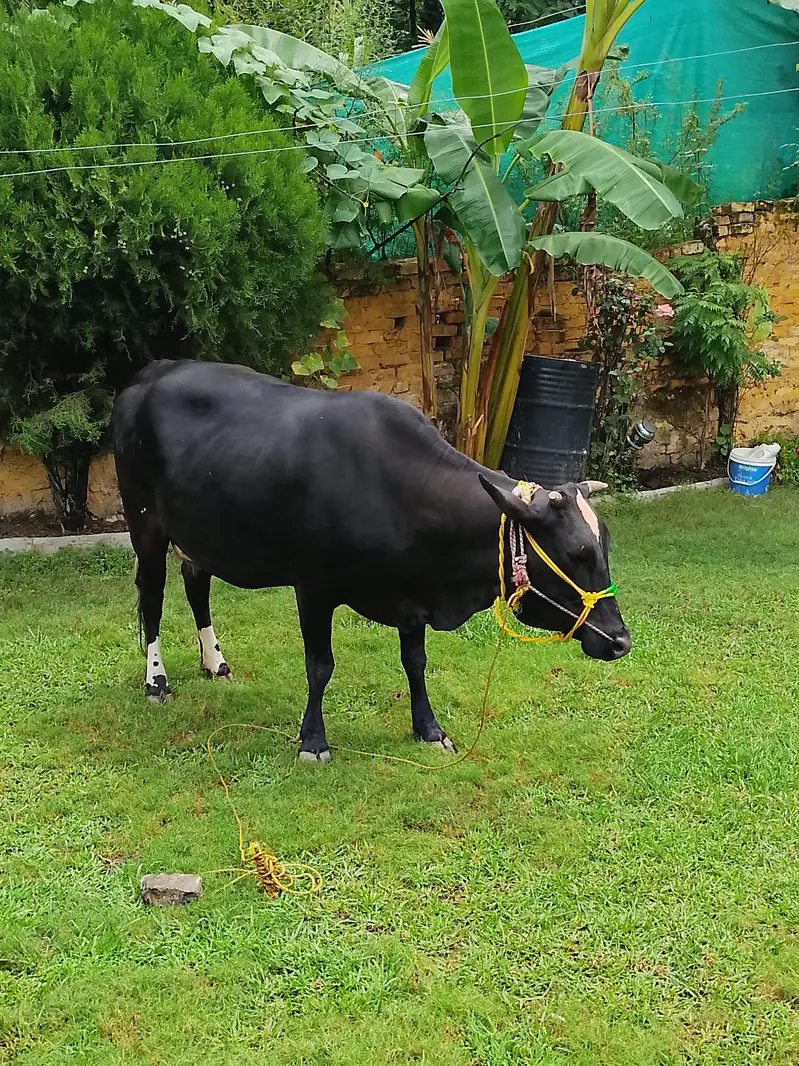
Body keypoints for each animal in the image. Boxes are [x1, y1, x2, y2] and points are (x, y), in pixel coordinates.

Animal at [112, 360, 631, 762]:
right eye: (578, 552)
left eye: (605, 545)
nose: (621, 641)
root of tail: (151, 372)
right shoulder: (313, 587)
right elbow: (319, 666)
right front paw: (313, 741)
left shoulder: (412, 596)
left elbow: (415, 662)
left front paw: (430, 729)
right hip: (145, 525)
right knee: (153, 596)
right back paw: (156, 680)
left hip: (196, 533)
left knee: (196, 584)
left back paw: (214, 662)